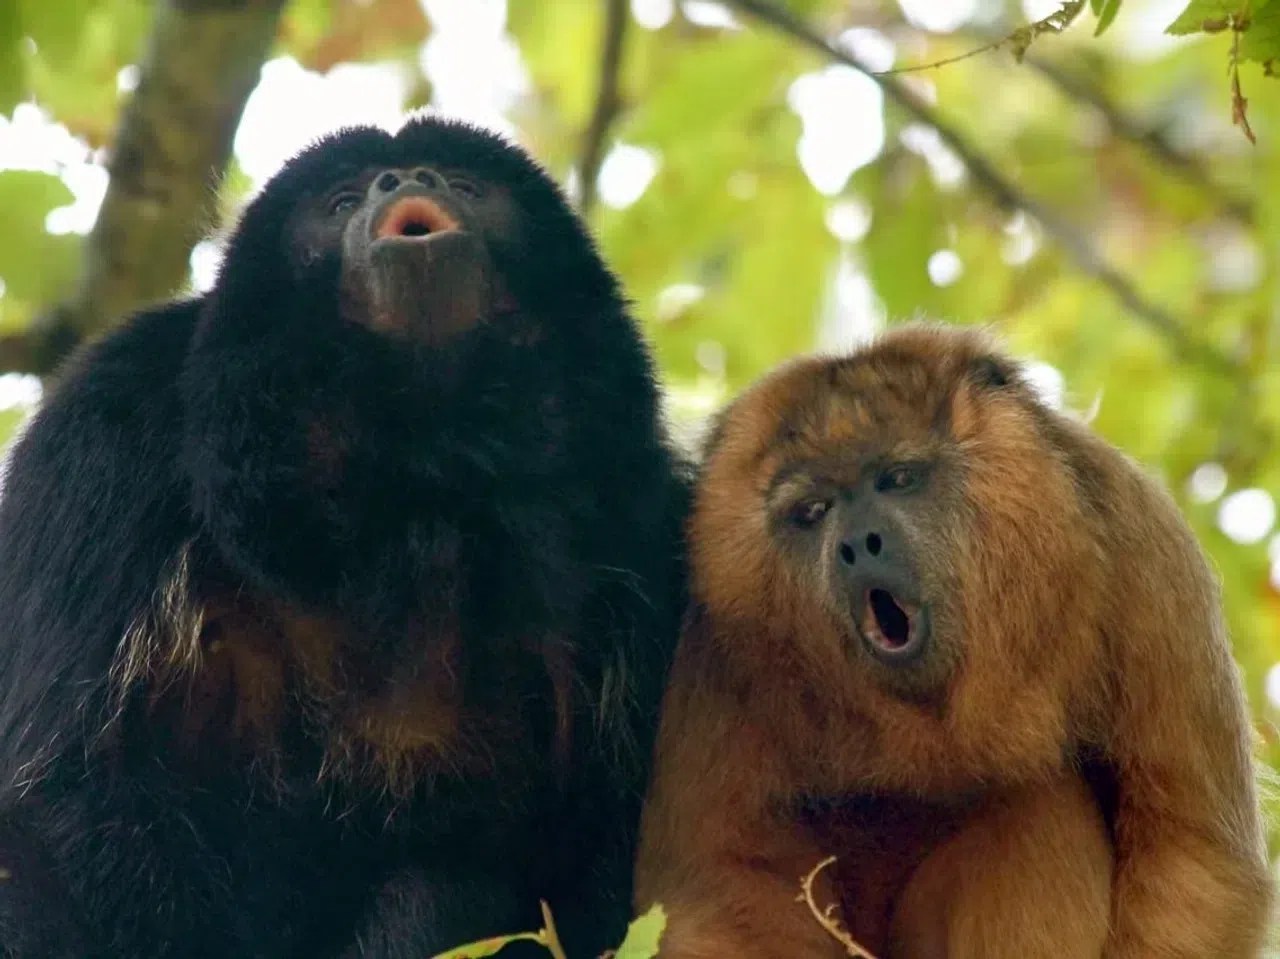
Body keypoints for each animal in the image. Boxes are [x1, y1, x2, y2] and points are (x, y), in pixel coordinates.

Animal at [0, 116, 688, 958]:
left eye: (466, 185)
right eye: (342, 200)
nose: (408, 178)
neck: (413, 478)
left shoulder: (644, 519)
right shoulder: (107, 431)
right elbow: (62, 789)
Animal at [634, 323, 1270, 958]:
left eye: (898, 479)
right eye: (813, 510)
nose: (858, 543)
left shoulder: (1141, 549)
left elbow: (1192, 855)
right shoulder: (712, 645)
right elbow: (729, 884)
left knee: (1040, 805)